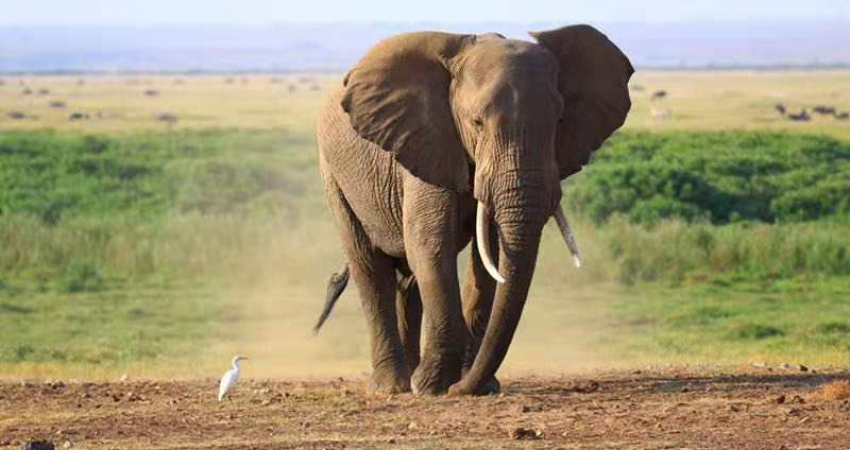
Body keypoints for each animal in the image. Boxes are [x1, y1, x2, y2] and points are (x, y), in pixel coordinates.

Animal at [316, 25, 628, 398]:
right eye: (477, 123)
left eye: (559, 121)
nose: (462, 388)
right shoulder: (427, 141)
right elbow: (431, 245)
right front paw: (435, 388)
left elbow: (488, 254)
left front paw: (471, 385)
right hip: (334, 173)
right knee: (369, 265)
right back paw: (392, 386)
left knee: (408, 279)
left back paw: (409, 378)